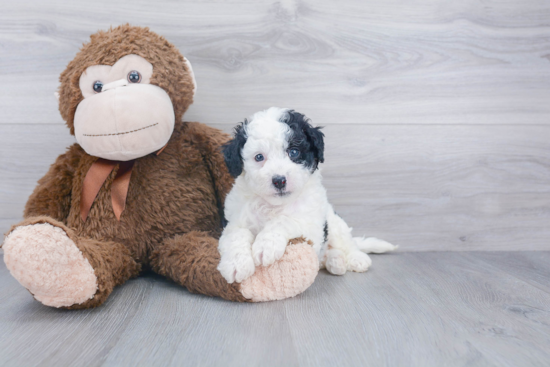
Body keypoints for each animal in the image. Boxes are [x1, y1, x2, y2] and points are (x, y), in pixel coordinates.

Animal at [217, 107, 396, 284]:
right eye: (259, 157)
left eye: (294, 152)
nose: (279, 180)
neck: (275, 205)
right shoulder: (234, 220)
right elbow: (236, 234)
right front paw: (236, 263)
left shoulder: (311, 226)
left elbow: (284, 220)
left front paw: (266, 245)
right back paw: (335, 261)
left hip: (335, 222)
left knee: (346, 242)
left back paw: (355, 258)